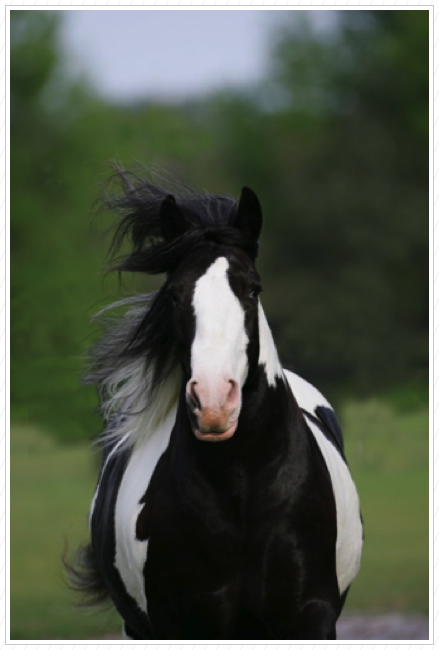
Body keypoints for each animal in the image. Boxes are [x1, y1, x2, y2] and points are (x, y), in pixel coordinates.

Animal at [69, 171, 364, 636]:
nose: (212, 403)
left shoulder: (310, 615)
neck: (241, 488)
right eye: (174, 294)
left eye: (253, 289)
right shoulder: (181, 623)